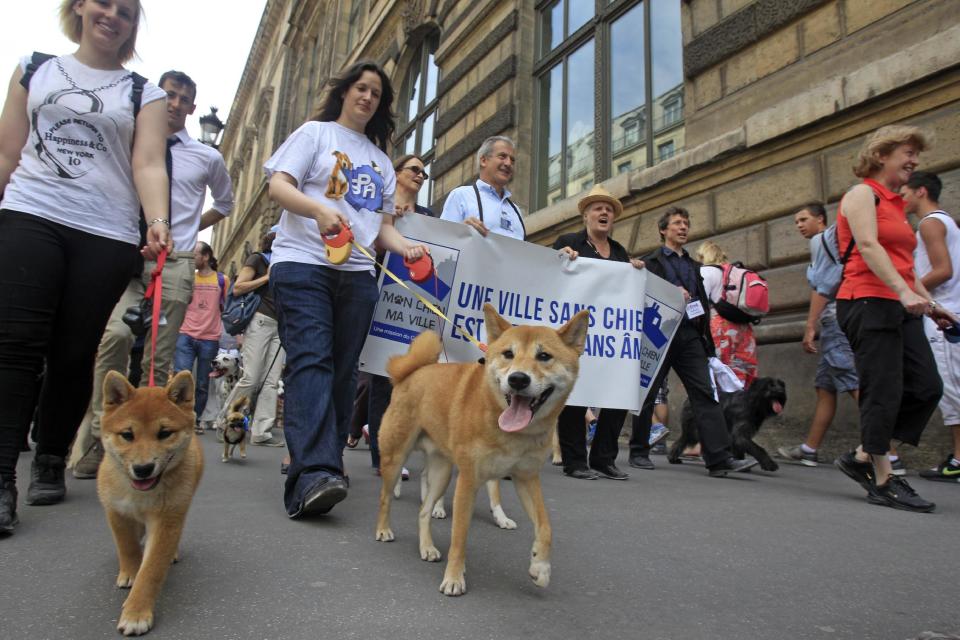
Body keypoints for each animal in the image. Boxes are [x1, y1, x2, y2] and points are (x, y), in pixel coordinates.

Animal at [98, 370, 203, 636]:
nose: (143, 469)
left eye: (164, 433)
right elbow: (127, 547)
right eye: (127, 435)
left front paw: (136, 613)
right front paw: (130, 572)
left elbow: (151, 571)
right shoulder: (117, 513)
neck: (140, 496)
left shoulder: (167, 520)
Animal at [376, 302, 592, 596]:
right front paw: (454, 578)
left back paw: (427, 547)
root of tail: (413, 372)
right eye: (508, 354)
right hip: (396, 456)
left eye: (544, 356)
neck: (512, 433)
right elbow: (459, 537)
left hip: (442, 472)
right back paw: (384, 529)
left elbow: (546, 526)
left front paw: (541, 567)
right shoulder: (468, 480)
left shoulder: (526, 478)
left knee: (423, 510)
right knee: (385, 497)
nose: (518, 379)